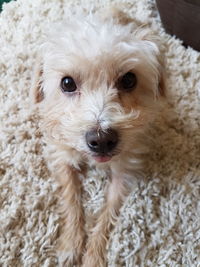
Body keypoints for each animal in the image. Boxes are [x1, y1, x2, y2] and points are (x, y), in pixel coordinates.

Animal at [30, 6, 166, 267]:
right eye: (67, 83)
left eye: (129, 79)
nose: (102, 140)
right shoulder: (61, 155)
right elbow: (71, 197)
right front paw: (71, 243)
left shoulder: (124, 171)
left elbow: (107, 215)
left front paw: (93, 255)